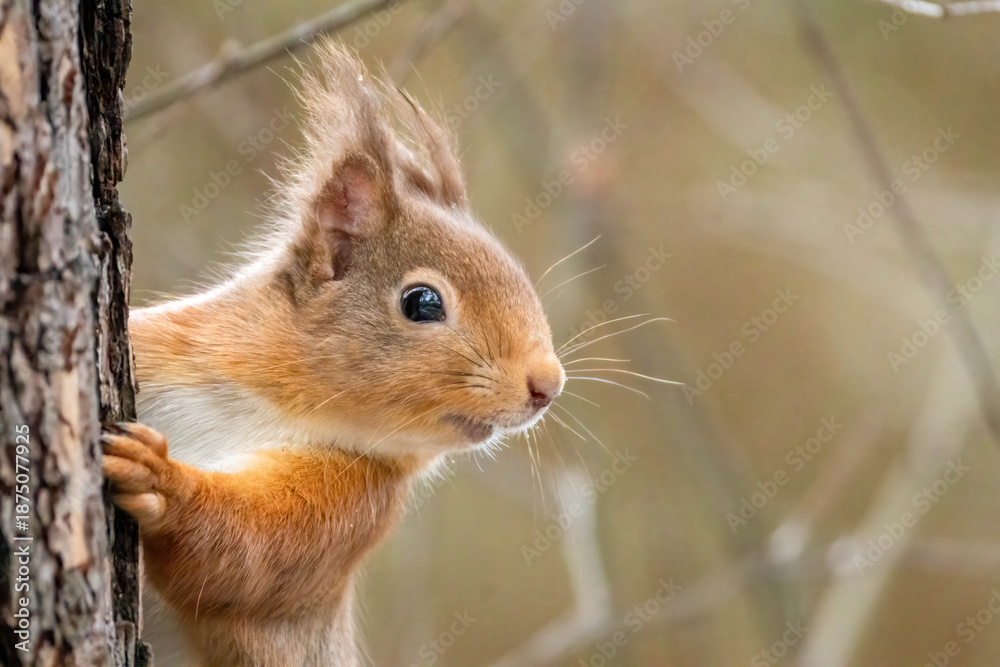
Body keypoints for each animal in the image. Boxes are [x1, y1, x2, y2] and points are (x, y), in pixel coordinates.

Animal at [100, 42, 565, 666]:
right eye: (422, 303)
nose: (548, 385)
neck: (263, 401)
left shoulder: (350, 512)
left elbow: (242, 556)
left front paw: (162, 480)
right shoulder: (162, 348)